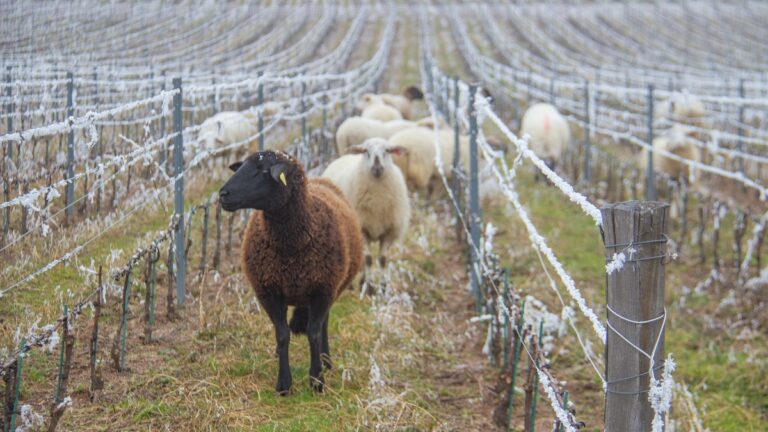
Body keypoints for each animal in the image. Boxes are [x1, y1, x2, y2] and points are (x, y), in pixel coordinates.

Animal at [218, 149, 364, 394]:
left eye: (263, 171)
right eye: (242, 167)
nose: (223, 194)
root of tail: (319, 179)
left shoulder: (323, 290)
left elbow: (313, 333)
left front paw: (316, 380)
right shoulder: (268, 292)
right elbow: (282, 335)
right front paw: (284, 383)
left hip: (330, 289)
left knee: (323, 324)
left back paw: (326, 360)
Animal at [320, 138, 412, 272]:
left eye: (387, 150)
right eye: (365, 151)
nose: (377, 167)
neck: (378, 199)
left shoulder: (389, 232)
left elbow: (382, 260)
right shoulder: (362, 229)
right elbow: (368, 260)